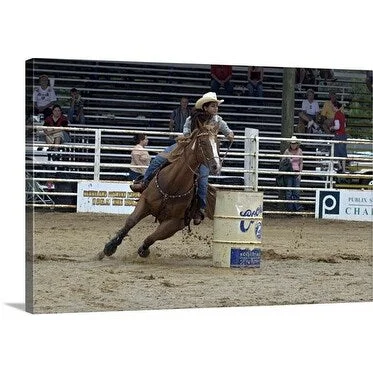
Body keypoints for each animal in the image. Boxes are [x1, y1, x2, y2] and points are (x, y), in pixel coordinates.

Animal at [97, 123, 221, 258]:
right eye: (203, 142)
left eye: (218, 143)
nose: (216, 166)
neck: (172, 184)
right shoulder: (145, 202)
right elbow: (131, 221)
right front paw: (110, 247)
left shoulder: (175, 223)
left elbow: (154, 236)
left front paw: (144, 250)